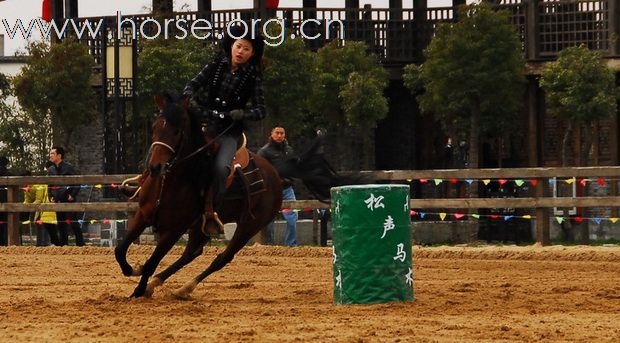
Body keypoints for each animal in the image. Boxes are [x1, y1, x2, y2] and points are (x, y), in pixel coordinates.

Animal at [115, 93, 282, 298]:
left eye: (177, 131)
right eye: (154, 127)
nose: (155, 167)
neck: (171, 182)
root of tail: (275, 175)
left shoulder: (175, 229)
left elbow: (151, 263)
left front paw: (138, 292)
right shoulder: (143, 215)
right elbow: (120, 250)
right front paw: (133, 271)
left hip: (249, 226)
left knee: (222, 258)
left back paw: (184, 288)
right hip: (201, 226)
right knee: (192, 252)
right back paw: (156, 283)